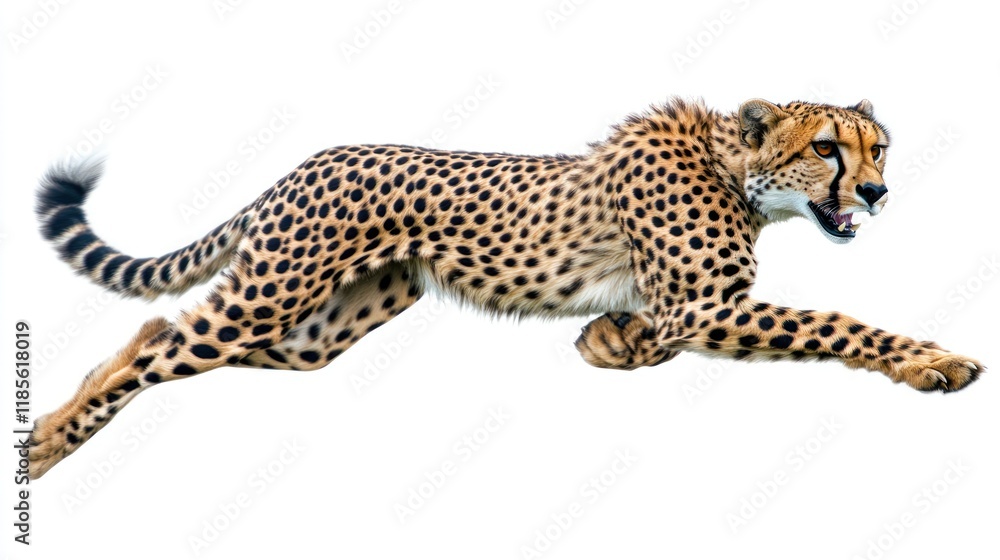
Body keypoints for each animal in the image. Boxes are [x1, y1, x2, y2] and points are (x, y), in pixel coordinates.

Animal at [28, 97, 984, 480]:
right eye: (827, 147)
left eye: (877, 147)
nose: (877, 191)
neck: (736, 170)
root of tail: (305, 162)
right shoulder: (706, 305)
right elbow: (836, 323)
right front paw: (933, 362)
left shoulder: (687, 309)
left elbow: (640, 337)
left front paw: (606, 344)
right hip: (273, 296)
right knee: (163, 339)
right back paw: (44, 445)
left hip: (317, 331)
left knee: (160, 336)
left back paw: (51, 436)